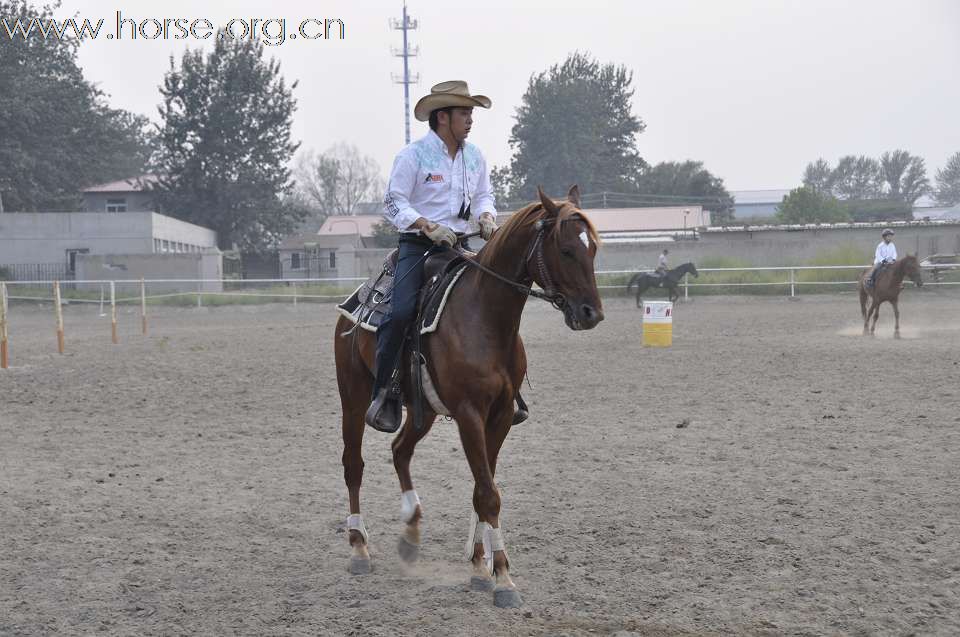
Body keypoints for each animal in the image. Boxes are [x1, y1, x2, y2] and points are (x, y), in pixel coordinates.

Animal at [330, 184, 600, 608]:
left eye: (593, 249)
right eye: (567, 249)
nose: (591, 313)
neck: (485, 318)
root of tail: (358, 296)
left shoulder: (501, 416)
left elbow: (480, 490)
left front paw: (478, 566)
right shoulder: (470, 414)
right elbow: (489, 494)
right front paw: (502, 578)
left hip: (421, 411)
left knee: (400, 451)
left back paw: (411, 535)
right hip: (353, 398)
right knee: (353, 464)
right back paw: (359, 548)